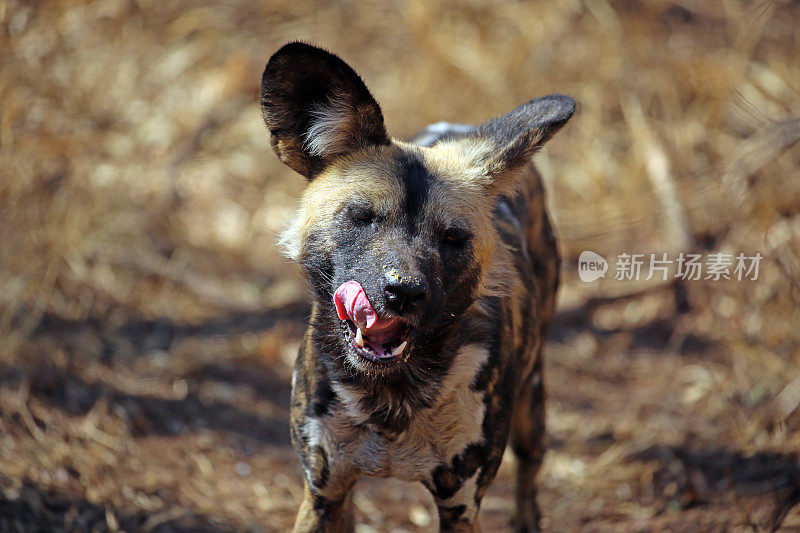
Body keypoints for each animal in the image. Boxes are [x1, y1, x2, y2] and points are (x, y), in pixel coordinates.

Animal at [262, 42, 576, 532]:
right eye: (363, 217)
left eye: (451, 238)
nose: (404, 292)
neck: (391, 397)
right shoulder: (322, 492)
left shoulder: (461, 507)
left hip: (532, 405)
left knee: (530, 467)